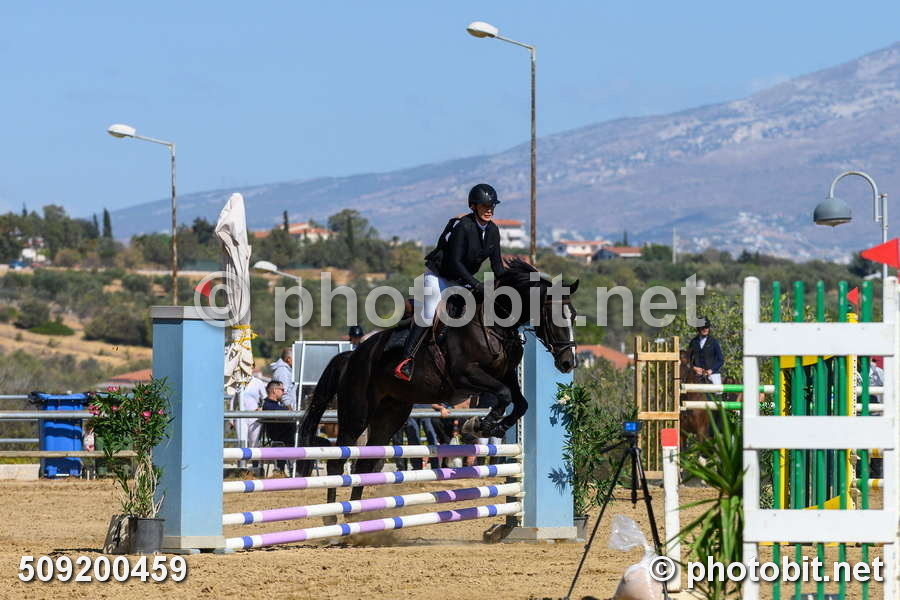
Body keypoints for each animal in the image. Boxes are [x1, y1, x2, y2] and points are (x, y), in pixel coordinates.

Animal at [296, 259, 579, 509]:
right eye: (553, 316)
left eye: (573, 316)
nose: (569, 362)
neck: (495, 323)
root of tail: (351, 356)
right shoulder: (466, 375)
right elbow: (504, 395)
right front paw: (480, 424)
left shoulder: (506, 374)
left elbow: (520, 403)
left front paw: (493, 426)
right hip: (357, 412)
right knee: (338, 460)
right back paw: (332, 518)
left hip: (391, 413)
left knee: (366, 464)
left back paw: (355, 518)